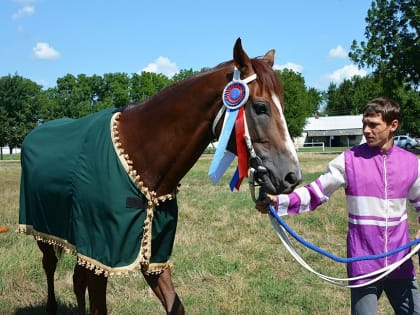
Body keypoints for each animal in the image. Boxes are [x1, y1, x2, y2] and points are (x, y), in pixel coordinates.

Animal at [18, 39, 302, 315]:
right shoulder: (101, 254)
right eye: (261, 107)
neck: (139, 156)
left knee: (77, 279)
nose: (291, 176)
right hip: (43, 232)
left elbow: (174, 305)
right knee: (49, 265)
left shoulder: (150, 254)